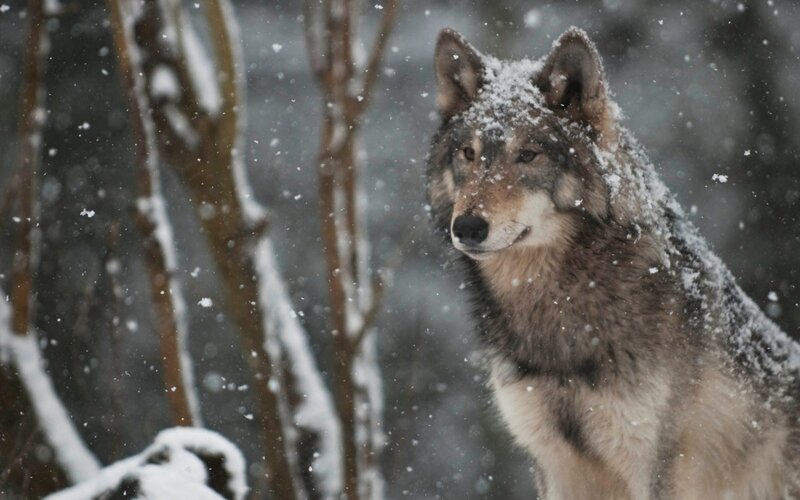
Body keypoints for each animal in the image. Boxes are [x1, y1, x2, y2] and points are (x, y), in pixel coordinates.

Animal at [426, 27, 800, 499]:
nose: (468, 227)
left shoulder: (656, 465)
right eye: (468, 153)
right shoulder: (554, 466)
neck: (559, 314)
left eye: (528, 155)